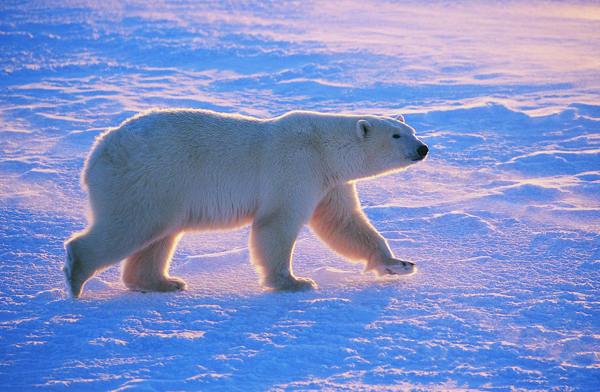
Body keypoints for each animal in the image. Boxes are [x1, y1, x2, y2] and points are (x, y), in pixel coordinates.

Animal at [63, 108, 428, 298]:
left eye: (411, 129)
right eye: (397, 135)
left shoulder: (329, 183)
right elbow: (277, 223)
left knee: (159, 235)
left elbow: (345, 222)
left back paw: (163, 283)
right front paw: (294, 282)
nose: (423, 148)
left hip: (164, 190)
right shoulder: (296, 168)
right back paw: (76, 276)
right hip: (148, 179)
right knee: (129, 226)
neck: (324, 147)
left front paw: (399, 263)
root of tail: (97, 151)